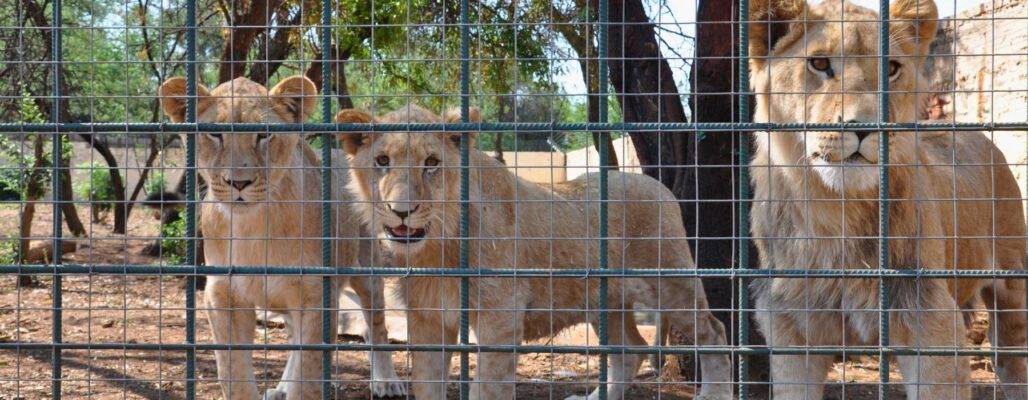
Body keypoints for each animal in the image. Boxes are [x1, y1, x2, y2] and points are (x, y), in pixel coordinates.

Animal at [158, 76, 405, 399]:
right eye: (215, 133)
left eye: (264, 135)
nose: (239, 182)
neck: (253, 228)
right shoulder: (222, 294)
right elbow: (233, 371)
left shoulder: (316, 294)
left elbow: (309, 372)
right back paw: (282, 388)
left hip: (366, 269)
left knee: (375, 323)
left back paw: (386, 381)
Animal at [334, 105, 733, 400]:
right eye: (382, 161)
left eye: (431, 163)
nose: (402, 210)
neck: (437, 246)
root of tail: (657, 184)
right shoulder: (427, 317)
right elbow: (428, 385)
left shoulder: (499, 318)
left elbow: (488, 388)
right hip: (605, 300)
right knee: (629, 349)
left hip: (672, 283)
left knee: (714, 331)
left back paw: (715, 393)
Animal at [746, 0, 1027, 399]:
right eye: (819, 63)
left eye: (891, 68)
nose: (866, 127)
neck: (839, 215)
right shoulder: (792, 330)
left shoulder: (932, 322)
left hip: (1012, 284)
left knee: (1014, 363)